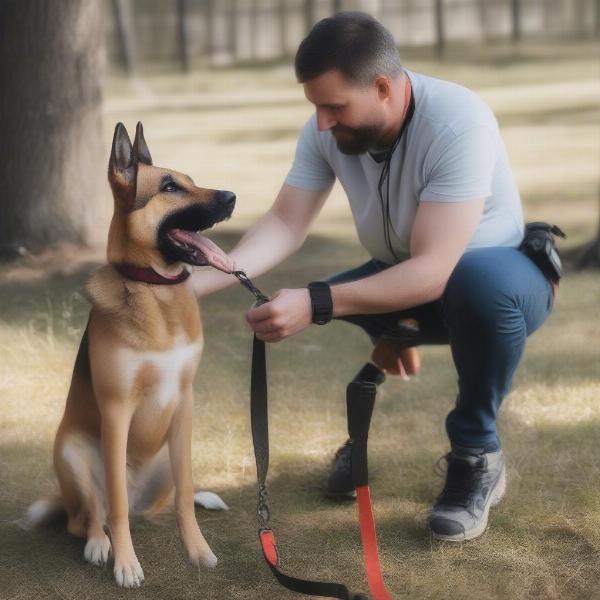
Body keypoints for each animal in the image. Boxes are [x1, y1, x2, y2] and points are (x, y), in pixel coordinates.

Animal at [23, 120, 236, 584]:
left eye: (191, 180)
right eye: (170, 186)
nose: (231, 197)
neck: (156, 291)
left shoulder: (185, 403)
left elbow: (185, 497)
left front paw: (198, 550)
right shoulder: (117, 410)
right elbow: (114, 507)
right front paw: (125, 563)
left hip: (170, 455)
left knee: (160, 505)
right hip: (75, 453)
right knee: (91, 516)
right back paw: (98, 543)